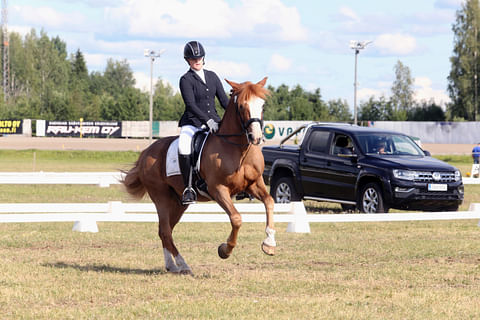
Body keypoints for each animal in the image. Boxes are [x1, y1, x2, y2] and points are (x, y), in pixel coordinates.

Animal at [122, 77, 276, 276]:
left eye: (262, 105)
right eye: (242, 106)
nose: (256, 137)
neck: (237, 149)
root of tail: (146, 152)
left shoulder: (254, 183)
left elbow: (269, 202)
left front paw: (269, 243)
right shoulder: (218, 189)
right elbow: (236, 218)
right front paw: (225, 250)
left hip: (178, 202)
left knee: (164, 230)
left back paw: (172, 265)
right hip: (161, 197)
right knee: (165, 231)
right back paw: (183, 265)